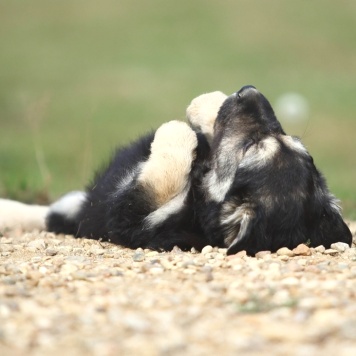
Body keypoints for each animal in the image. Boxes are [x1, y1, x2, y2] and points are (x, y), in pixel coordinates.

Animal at [47, 85, 354, 254]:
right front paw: (211, 104)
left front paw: (180, 127)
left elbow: (166, 170)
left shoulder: (132, 217)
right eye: (288, 137)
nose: (249, 90)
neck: (197, 203)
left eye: (251, 145)